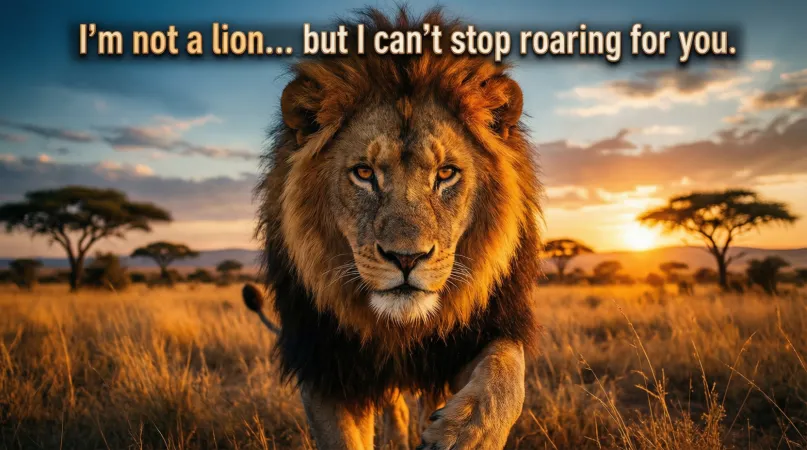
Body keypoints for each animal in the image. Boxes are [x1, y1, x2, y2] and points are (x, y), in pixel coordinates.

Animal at [247, 7, 542, 449]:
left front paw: (467, 433)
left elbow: (506, 373)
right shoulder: (324, 365)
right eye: (364, 173)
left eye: (446, 174)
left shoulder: (479, 330)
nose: (407, 258)